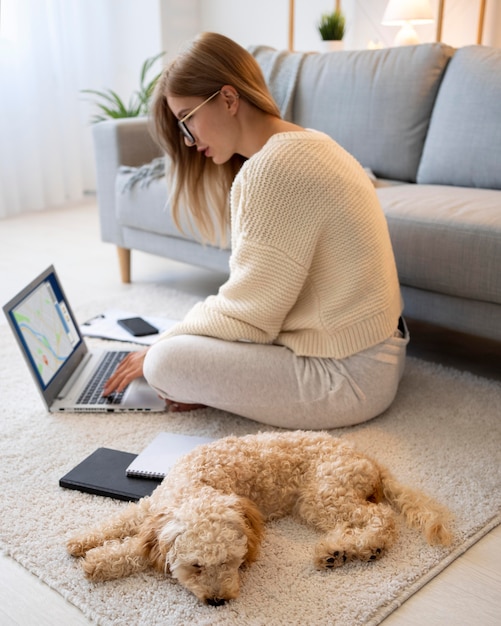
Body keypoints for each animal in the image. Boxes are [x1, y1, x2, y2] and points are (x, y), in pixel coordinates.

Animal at [65, 432, 450, 604]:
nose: (218, 601)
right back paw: (343, 550)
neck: (197, 483)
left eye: (231, 563)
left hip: (323, 496)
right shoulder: (152, 508)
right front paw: (82, 541)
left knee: (381, 517)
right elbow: (120, 522)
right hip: (323, 501)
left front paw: (99, 562)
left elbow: (134, 550)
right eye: (196, 566)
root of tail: (368, 459)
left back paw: (349, 550)